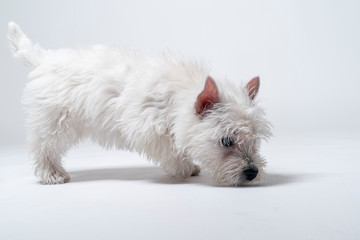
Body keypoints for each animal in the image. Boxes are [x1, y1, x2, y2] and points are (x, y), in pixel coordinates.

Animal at [7, 22, 270, 186]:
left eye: (255, 141)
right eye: (226, 141)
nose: (252, 172)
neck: (178, 96)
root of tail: (43, 59)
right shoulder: (148, 129)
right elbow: (170, 150)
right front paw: (183, 168)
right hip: (54, 122)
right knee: (43, 148)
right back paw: (51, 174)